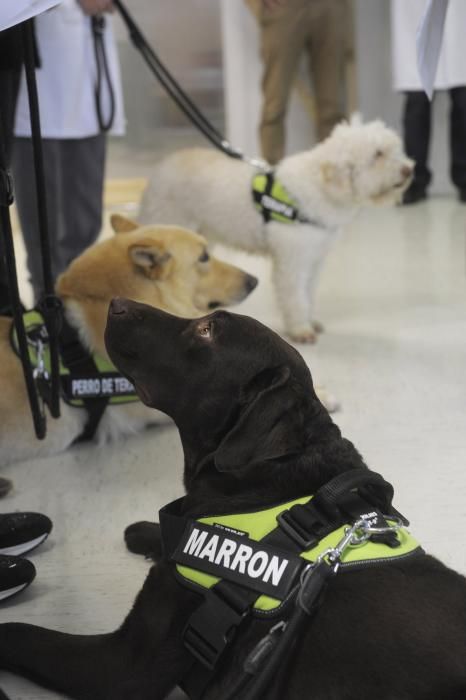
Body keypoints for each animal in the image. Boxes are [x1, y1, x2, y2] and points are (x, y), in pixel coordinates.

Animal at [0, 302, 464, 700]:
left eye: (206, 331)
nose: (116, 303)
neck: (265, 477)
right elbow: (170, 532)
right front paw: (147, 531)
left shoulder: (124, 665)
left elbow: (20, 633)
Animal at [140, 120, 414, 344]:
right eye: (378, 154)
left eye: (394, 149)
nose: (409, 170)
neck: (318, 188)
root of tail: (159, 170)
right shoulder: (293, 261)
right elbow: (295, 295)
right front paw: (301, 329)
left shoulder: (313, 259)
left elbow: (307, 292)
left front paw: (309, 320)